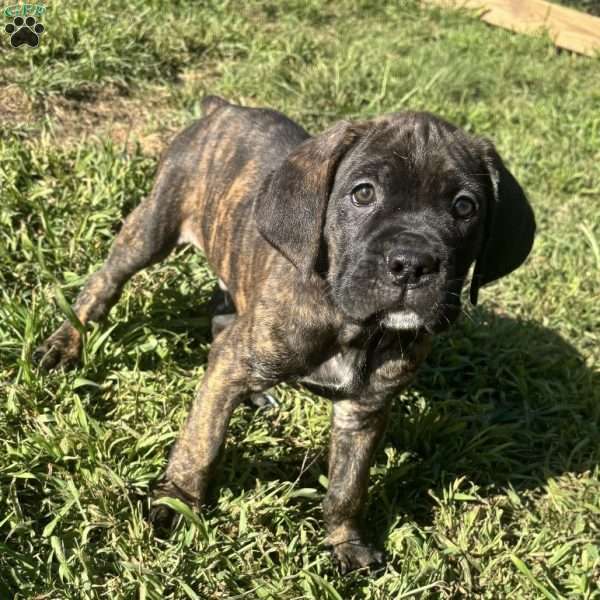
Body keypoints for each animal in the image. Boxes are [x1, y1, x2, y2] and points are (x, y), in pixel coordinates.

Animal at [34, 96, 536, 576]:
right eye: (363, 194)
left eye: (465, 207)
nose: (411, 263)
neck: (350, 323)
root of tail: (224, 108)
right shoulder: (237, 363)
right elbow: (201, 443)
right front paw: (177, 501)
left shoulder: (364, 410)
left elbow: (347, 486)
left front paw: (344, 543)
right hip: (152, 227)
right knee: (105, 283)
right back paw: (63, 346)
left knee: (222, 317)